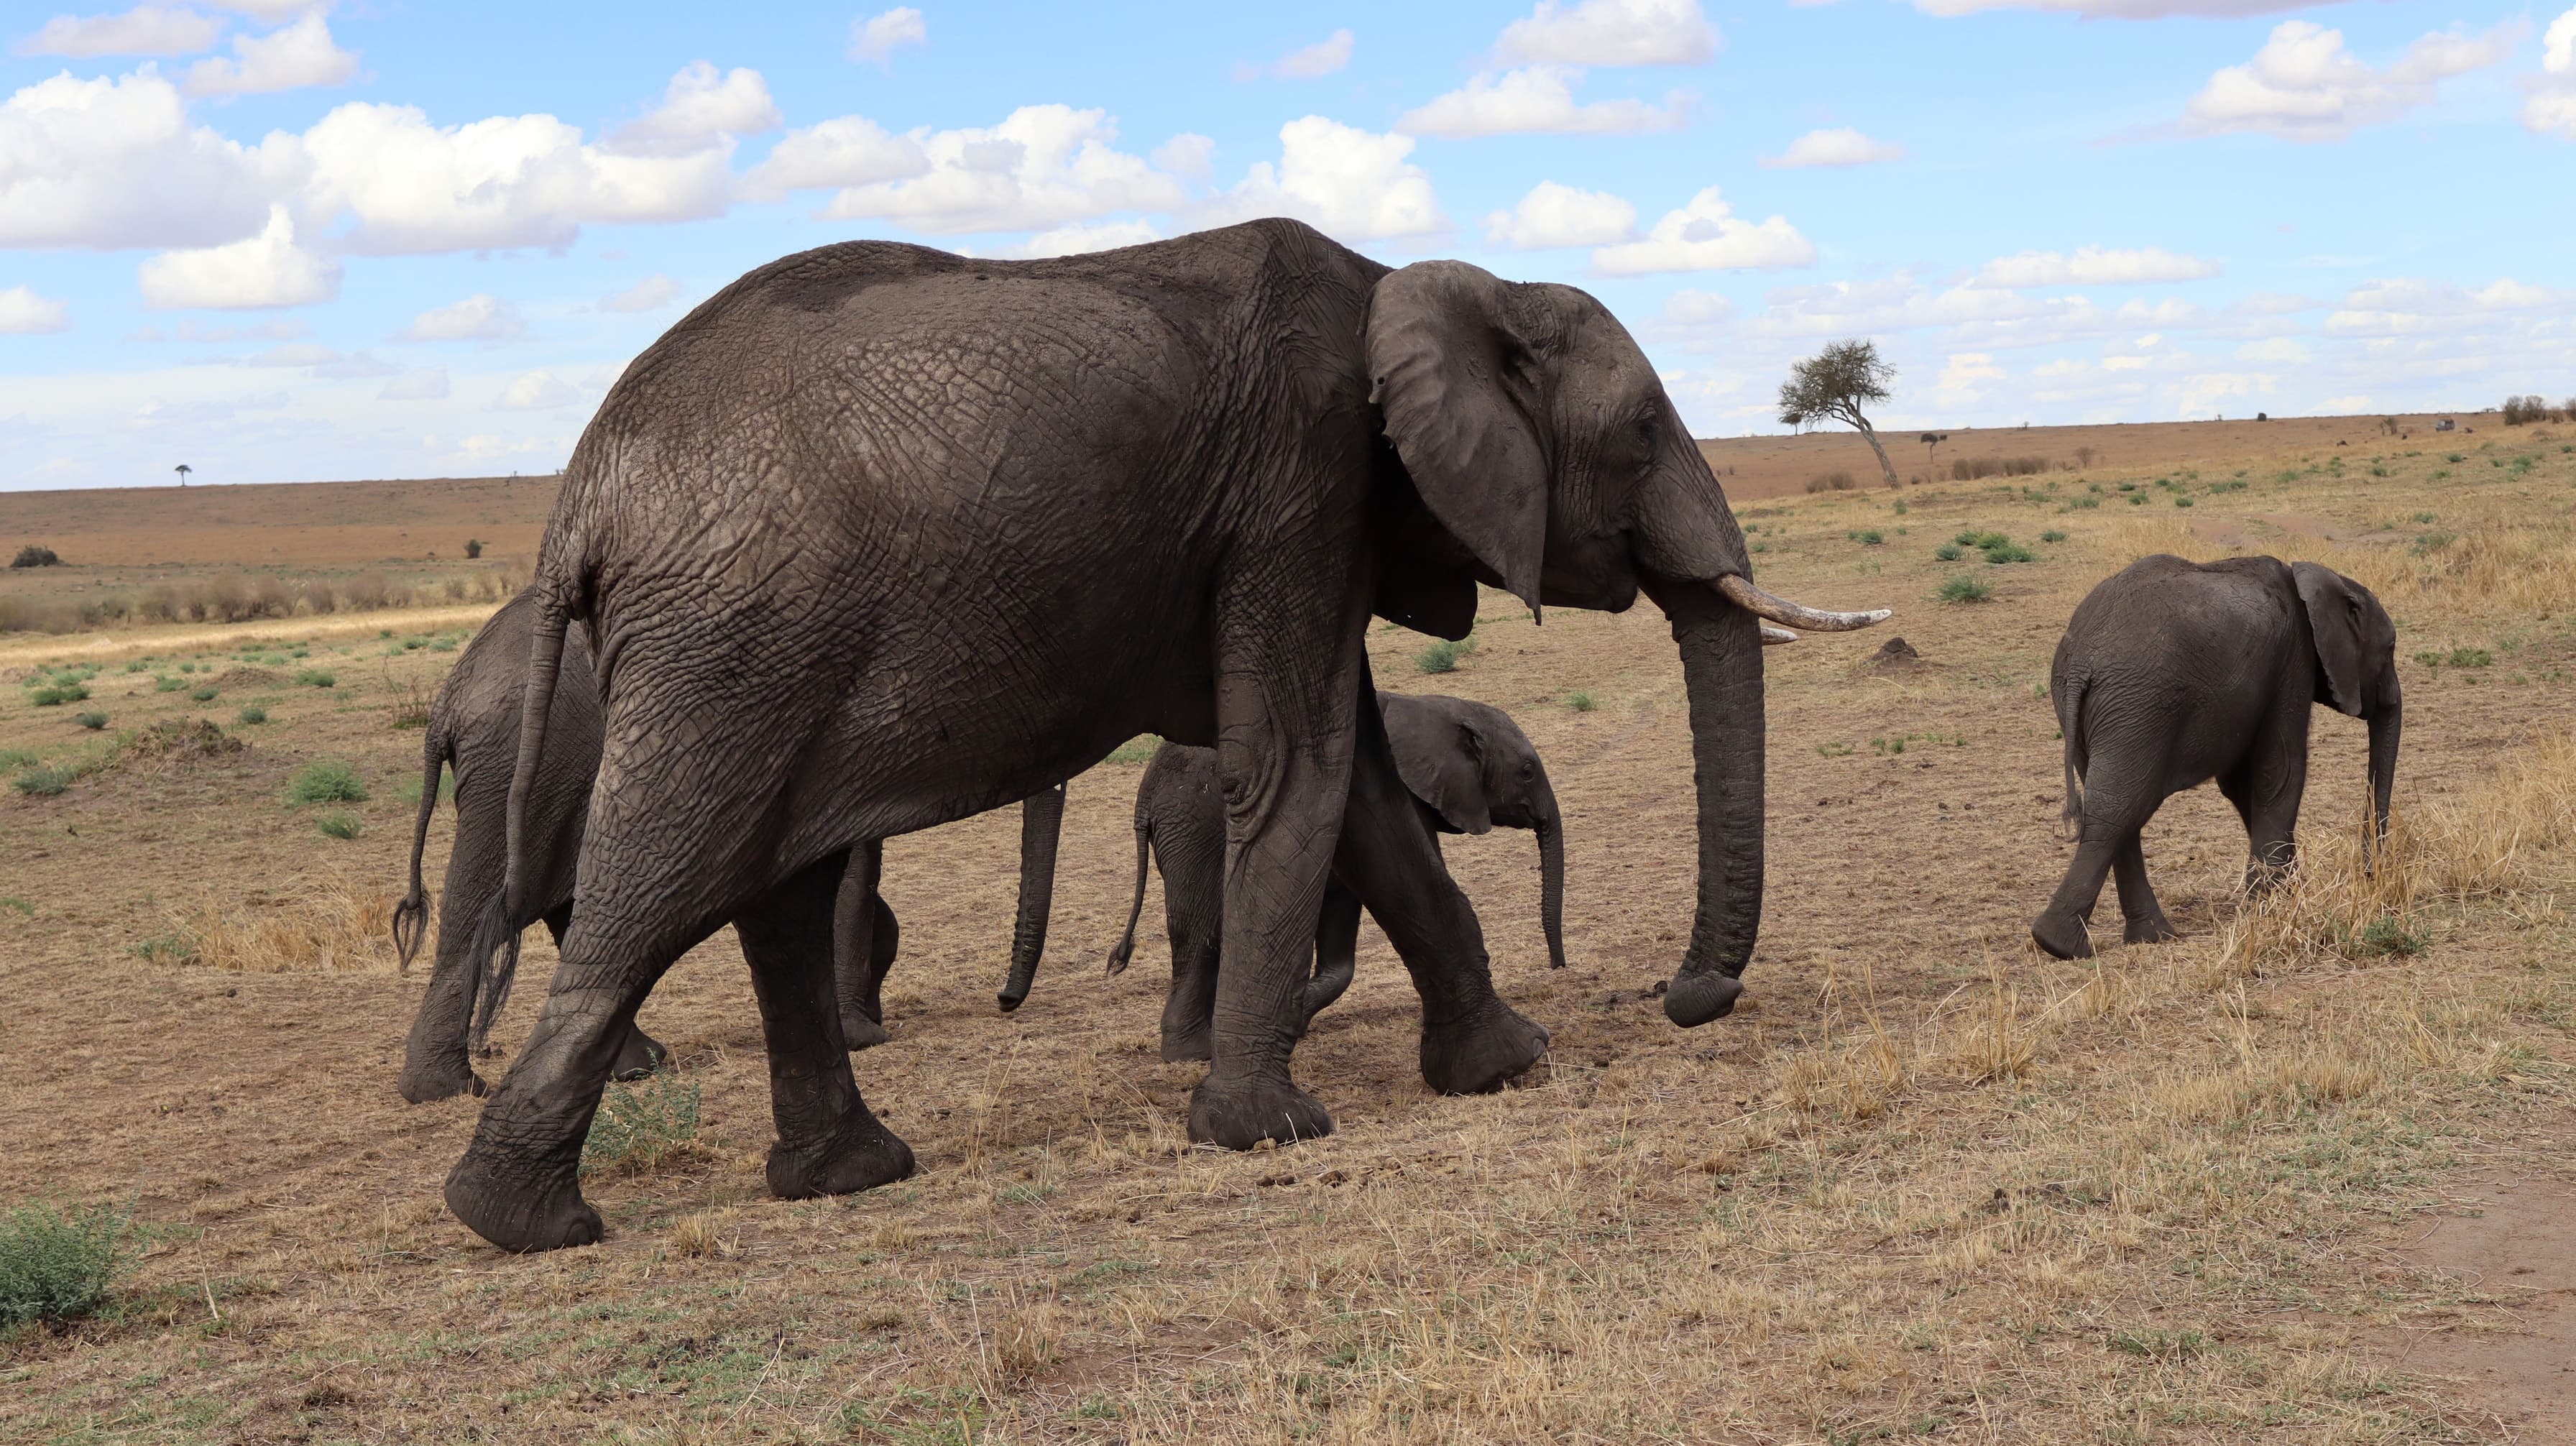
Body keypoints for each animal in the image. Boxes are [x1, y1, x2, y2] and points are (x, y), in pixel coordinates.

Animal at [391, 589, 1073, 1100]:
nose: (1005, 1002)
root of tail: (444, 707)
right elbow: (855, 874)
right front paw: (863, 1036)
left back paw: (632, 1066)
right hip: (524, 768)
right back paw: (454, 1089)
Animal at [1093, 692, 1567, 1063]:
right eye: (1527, 771)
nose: (1557, 967)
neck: (1435, 707)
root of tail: (1145, 796)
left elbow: (1345, 910)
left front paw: (1296, 1017)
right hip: (1196, 827)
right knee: (1202, 929)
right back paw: (1193, 1052)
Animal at [2030, 554, 2400, 960]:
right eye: (2391, 647)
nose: (2369, 876)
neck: (2314, 577)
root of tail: (2082, 662)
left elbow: (2242, 784)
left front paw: (2290, 897)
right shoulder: (2293, 659)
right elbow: (2282, 771)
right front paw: (2271, 908)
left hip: (2091, 706)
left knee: (2116, 806)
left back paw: (2144, 938)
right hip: (2141, 706)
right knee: (2122, 807)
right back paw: (2064, 945)